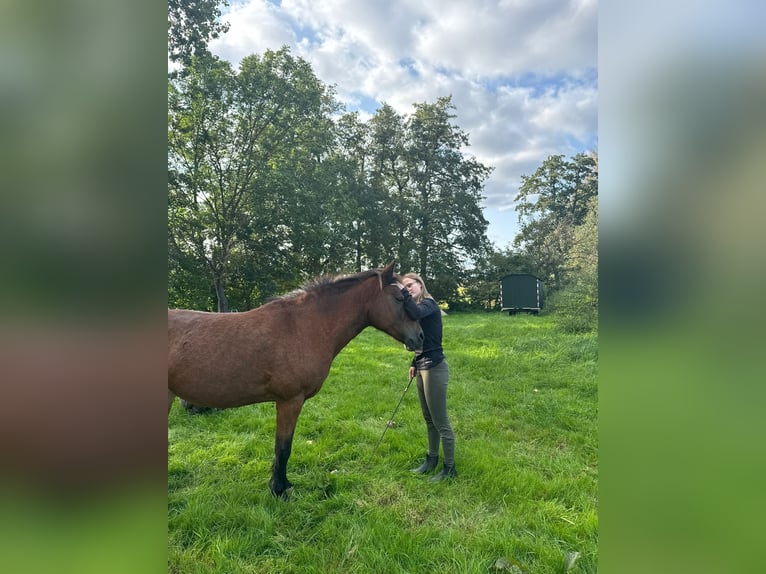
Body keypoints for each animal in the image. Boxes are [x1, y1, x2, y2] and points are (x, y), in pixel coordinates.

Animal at [166, 264, 426, 498]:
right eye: (399, 298)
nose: (420, 336)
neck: (302, 327)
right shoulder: (290, 401)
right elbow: (283, 448)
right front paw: (279, 490)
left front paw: (282, 484)